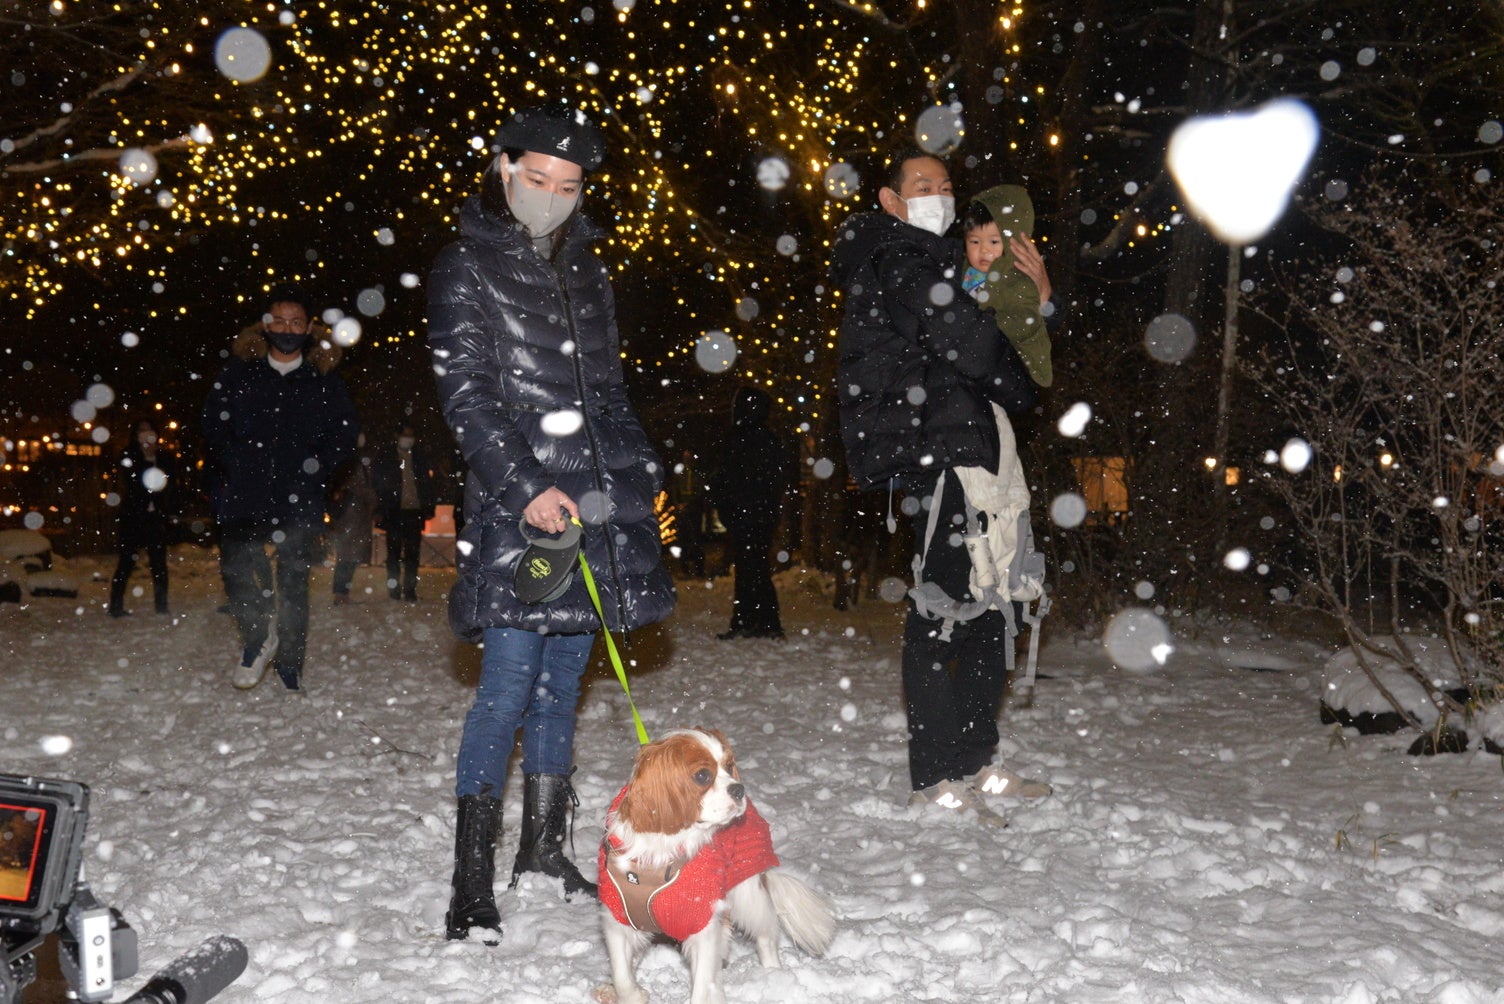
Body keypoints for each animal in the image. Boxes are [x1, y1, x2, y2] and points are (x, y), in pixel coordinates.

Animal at [594, 728, 835, 1004]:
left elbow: (702, 984)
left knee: (766, 933)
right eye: (702, 775)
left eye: (729, 766)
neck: (662, 854)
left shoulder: (705, 924)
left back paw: (774, 977)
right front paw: (631, 994)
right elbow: (622, 974)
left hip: (747, 890)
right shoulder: (618, 920)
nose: (739, 789)